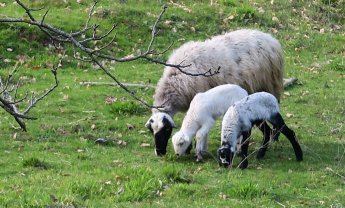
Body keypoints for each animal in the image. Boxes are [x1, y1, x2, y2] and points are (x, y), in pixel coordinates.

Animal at [145, 28, 282, 156]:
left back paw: (274, 137)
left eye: (167, 130)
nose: (159, 152)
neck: (176, 77)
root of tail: (270, 38)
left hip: (269, 85)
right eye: (152, 131)